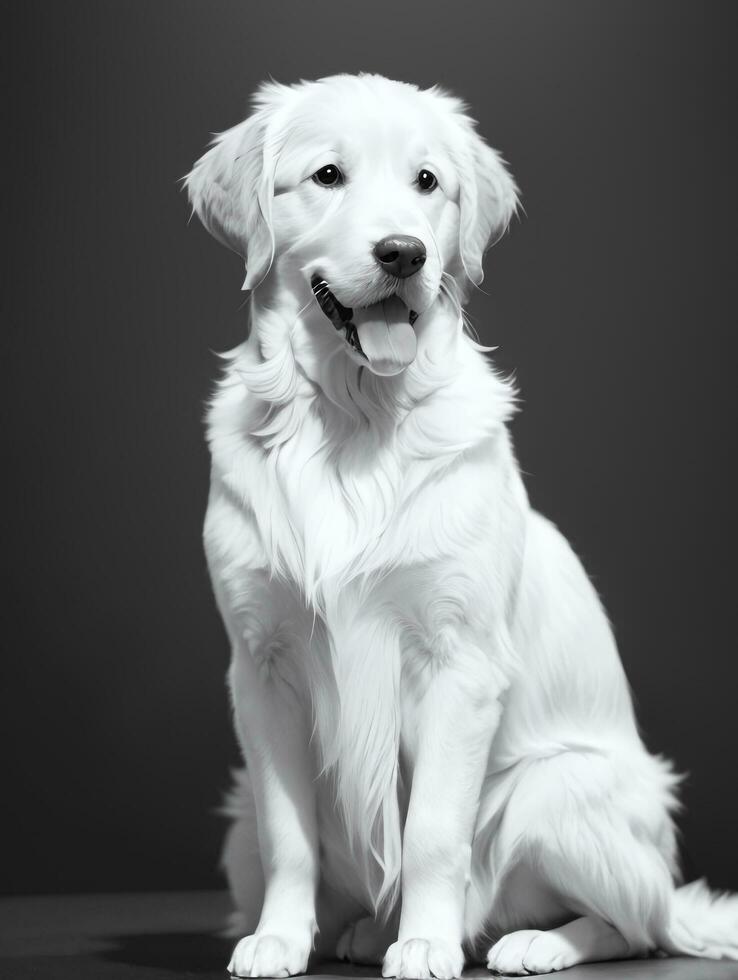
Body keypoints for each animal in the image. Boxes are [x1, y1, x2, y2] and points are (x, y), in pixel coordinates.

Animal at [184, 72, 736, 976]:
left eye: (427, 182)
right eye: (327, 176)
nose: (403, 253)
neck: (353, 420)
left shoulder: (460, 664)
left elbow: (433, 833)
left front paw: (427, 944)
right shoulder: (260, 669)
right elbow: (287, 835)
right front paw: (279, 938)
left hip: (553, 791)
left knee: (640, 925)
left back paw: (531, 942)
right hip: (234, 821)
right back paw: (363, 931)